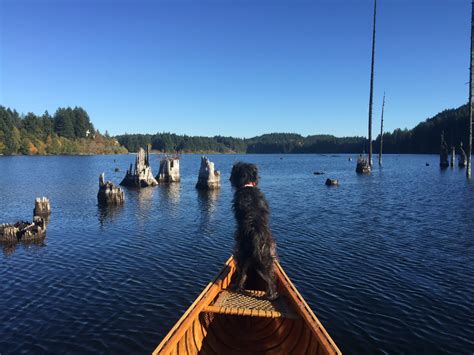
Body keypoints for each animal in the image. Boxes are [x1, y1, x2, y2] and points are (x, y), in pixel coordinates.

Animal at [230, 163, 278, 300]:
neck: (248, 185)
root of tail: (257, 236)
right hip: (267, 257)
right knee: (270, 278)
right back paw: (272, 295)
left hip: (241, 254)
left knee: (242, 273)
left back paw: (237, 287)